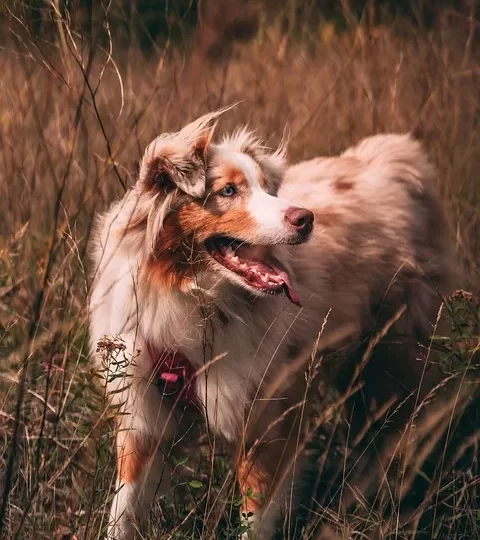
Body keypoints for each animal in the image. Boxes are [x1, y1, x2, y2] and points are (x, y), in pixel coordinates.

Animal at [89, 110, 454, 540]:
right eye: (228, 191)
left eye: (266, 187)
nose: (306, 219)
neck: (192, 297)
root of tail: (392, 157)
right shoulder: (142, 415)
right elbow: (123, 509)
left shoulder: (263, 420)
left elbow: (254, 517)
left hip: (398, 355)